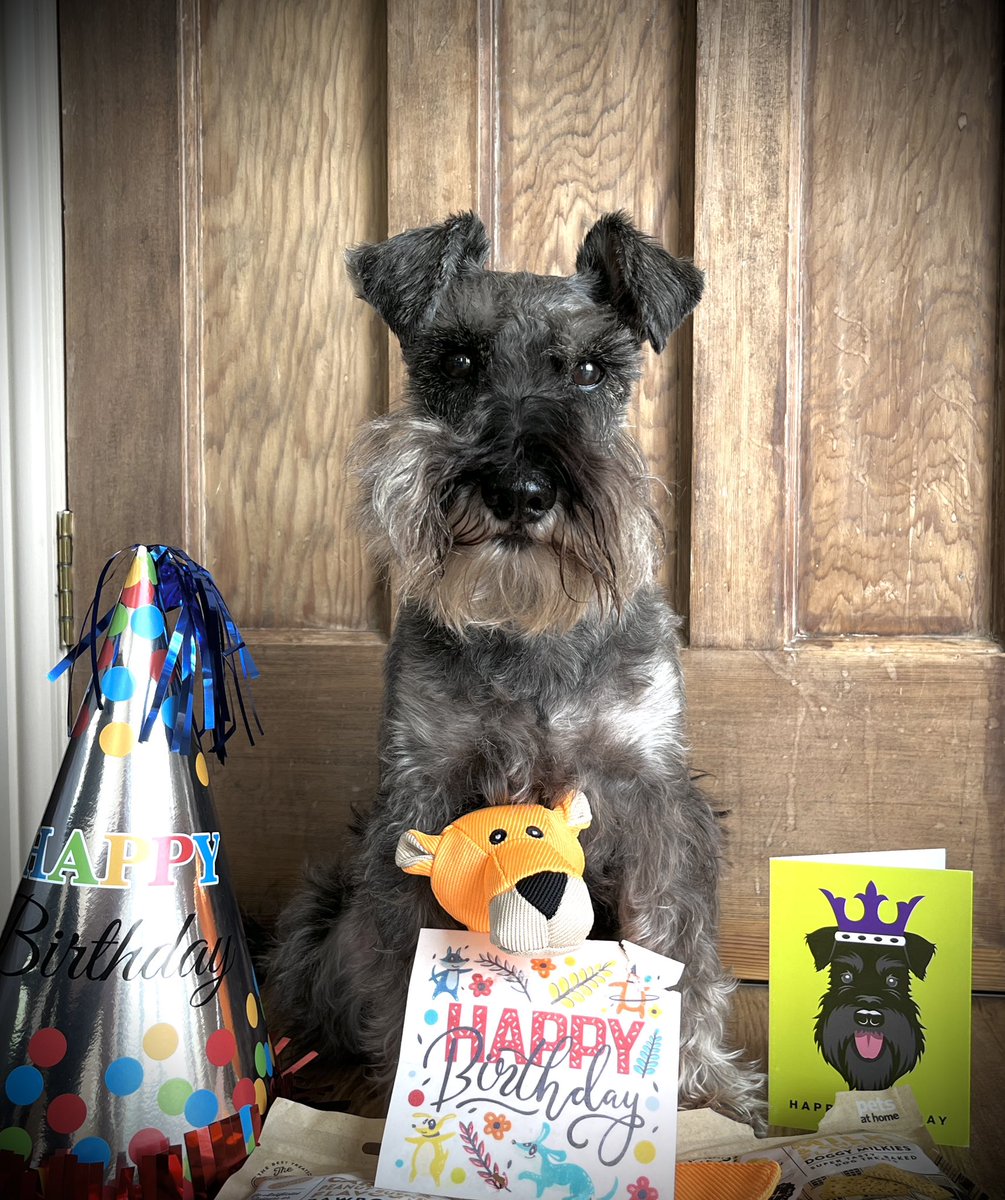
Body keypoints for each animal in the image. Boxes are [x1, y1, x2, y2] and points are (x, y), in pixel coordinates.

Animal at [267, 211, 762, 1118]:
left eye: (592, 370)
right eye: (460, 360)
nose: (520, 490)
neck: (529, 625)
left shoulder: (653, 794)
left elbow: (678, 943)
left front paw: (704, 1088)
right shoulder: (422, 793)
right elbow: (401, 956)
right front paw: (407, 1085)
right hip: (319, 914)